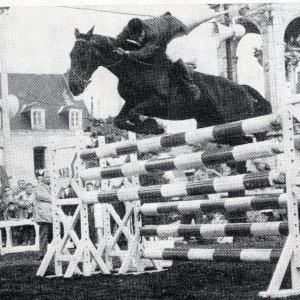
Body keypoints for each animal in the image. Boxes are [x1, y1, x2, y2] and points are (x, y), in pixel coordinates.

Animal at [67, 26, 272, 144]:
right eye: (71, 54)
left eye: (83, 54)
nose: (74, 86)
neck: (136, 69)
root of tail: (243, 89)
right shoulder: (130, 101)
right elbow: (120, 120)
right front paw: (149, 126)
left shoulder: (160, 101)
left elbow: (134, 113)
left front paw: (152, 126)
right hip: (212, 125)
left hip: (236, 122)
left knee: (250, 138)